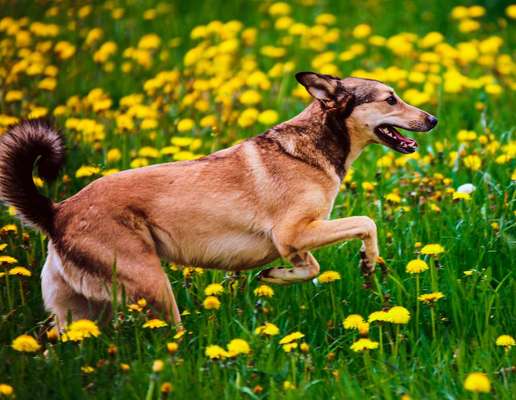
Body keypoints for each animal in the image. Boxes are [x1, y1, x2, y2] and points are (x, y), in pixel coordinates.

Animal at [0, 72, 438, 326]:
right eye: (390, 99)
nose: (432, 119)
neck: (316, 146)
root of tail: (56, 212)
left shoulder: (293, 242)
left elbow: (308, 267)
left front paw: (275, 276)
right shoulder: (294, 233)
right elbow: (366, 223)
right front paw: (368, 262)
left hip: (78, 311)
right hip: (153, 286)